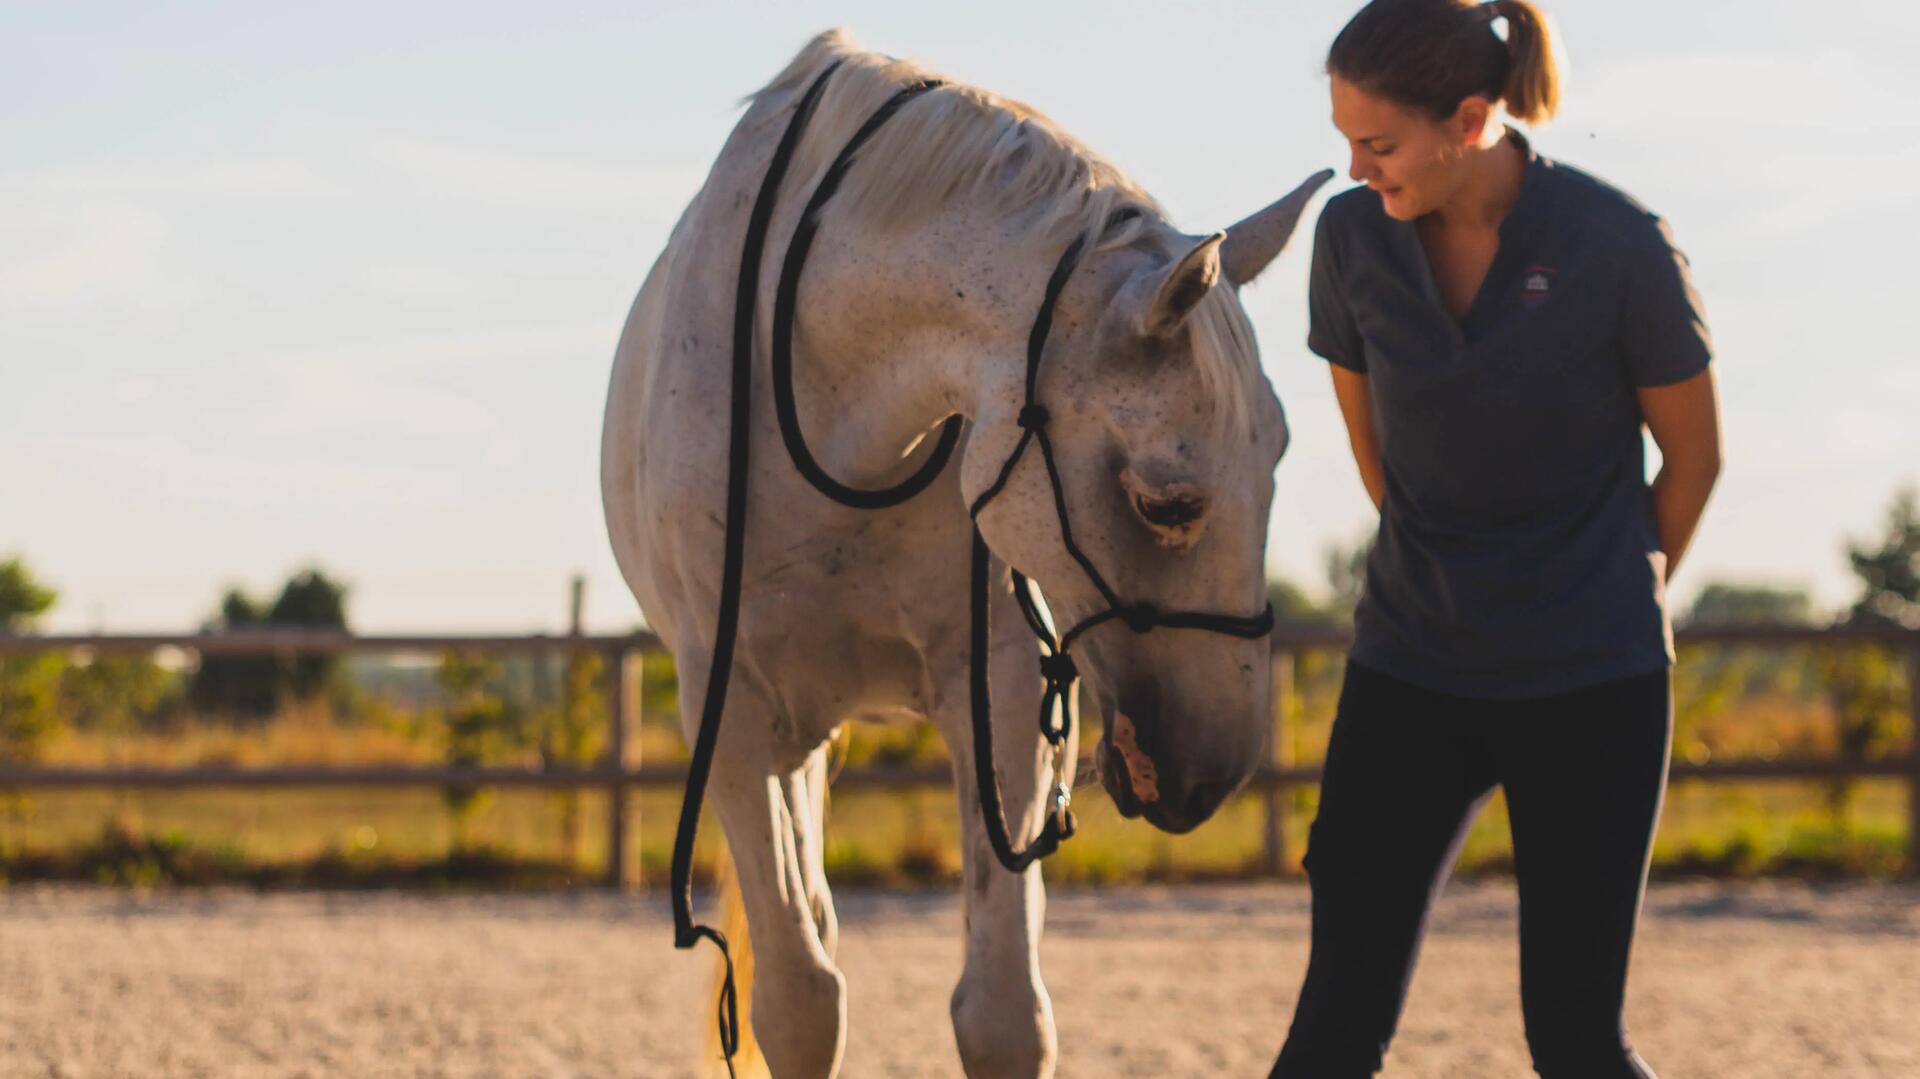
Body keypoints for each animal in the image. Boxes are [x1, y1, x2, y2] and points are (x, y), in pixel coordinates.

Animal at [606, 31, 1328, 1075]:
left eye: (1276, 460)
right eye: (1166, 501)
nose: (1213, 773)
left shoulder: (999, 691)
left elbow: (1001, 1014)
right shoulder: (733, 706)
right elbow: (799, 1000)